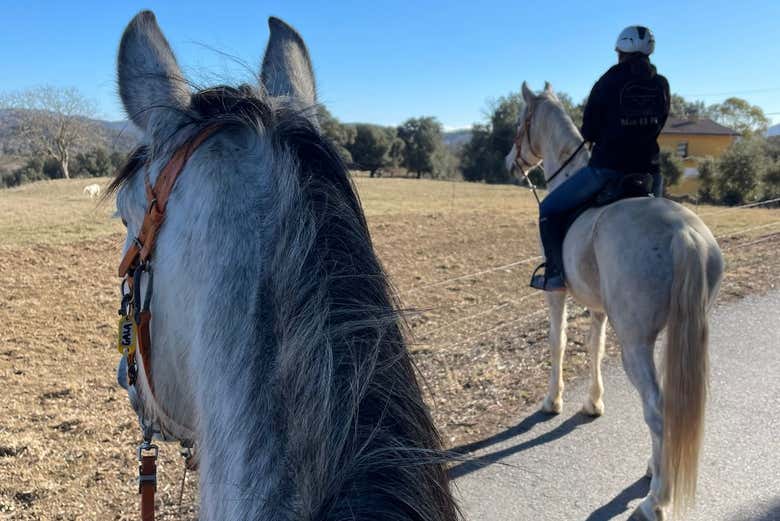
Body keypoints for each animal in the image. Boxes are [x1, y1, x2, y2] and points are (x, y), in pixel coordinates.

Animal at [506, 82, 724, 520]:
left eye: (521, 122)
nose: (509, 162)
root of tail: (685, 234)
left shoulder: (556, 295)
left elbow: (557, 344)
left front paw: (552, 401)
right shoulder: (600, 309)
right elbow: (594, 347)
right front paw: (592, 403)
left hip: (637, 344)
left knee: (657, 409)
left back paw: (655, 499)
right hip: (677, 333)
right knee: (670, 406)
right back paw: (656, 470)